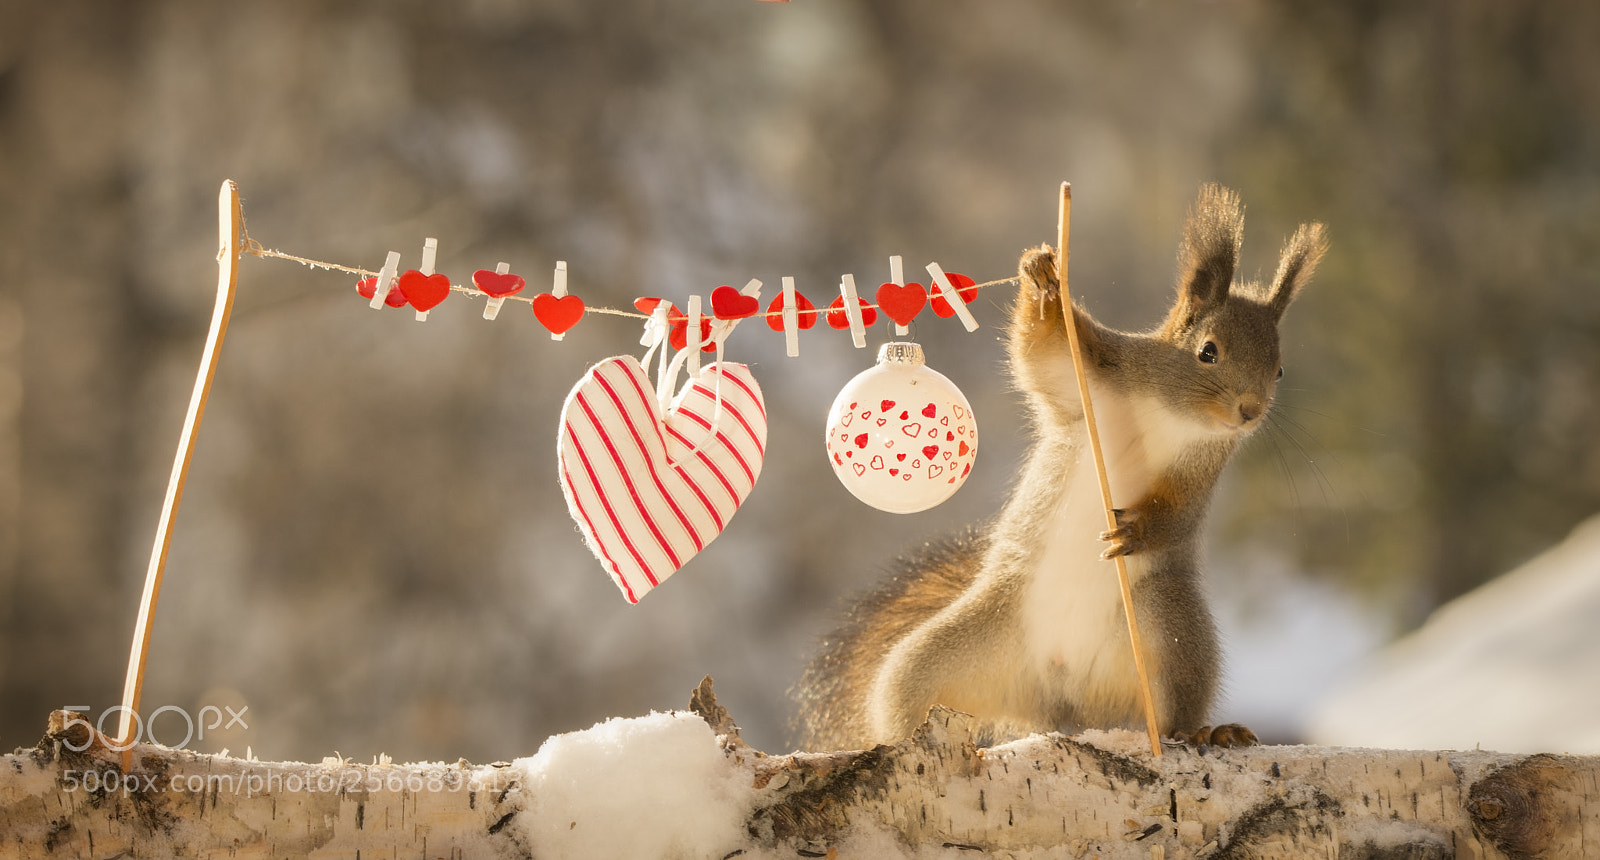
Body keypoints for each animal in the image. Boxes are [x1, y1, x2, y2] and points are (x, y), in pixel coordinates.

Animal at [793, 184, 1327, 750]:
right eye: (1208, 351)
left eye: (1279, 369)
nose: (1250, 411)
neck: (1173, 412)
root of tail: (1063, 698)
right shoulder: (1093, 375)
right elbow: (1045, 352)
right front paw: (1044, 277)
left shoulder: (1201, 474)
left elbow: (1177, 516)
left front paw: (1135, 532)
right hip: (946, 655)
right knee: (907, 693)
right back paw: (899, 740)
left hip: (1173, 636)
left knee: (1173, 710)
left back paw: (1205, 730)